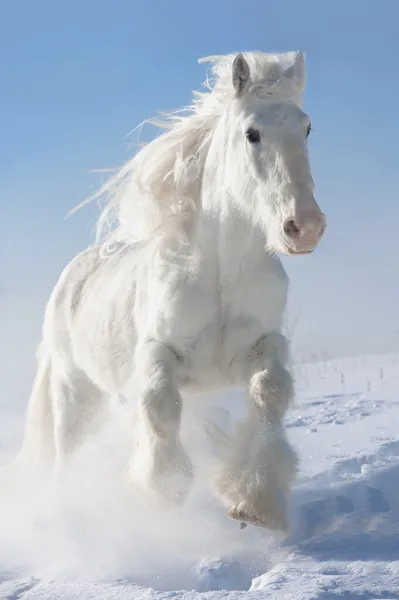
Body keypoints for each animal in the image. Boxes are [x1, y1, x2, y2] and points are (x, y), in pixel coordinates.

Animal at [13, 50, 324, 528]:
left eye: (306, 128)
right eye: (251, 133)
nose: (305, 227)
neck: (220, 276)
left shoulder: (262, 346)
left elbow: (270, 391)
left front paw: (253, 501)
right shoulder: (159, 351)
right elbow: (160, 402)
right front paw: (163, 488)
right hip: (74, 388)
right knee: (69, 451)